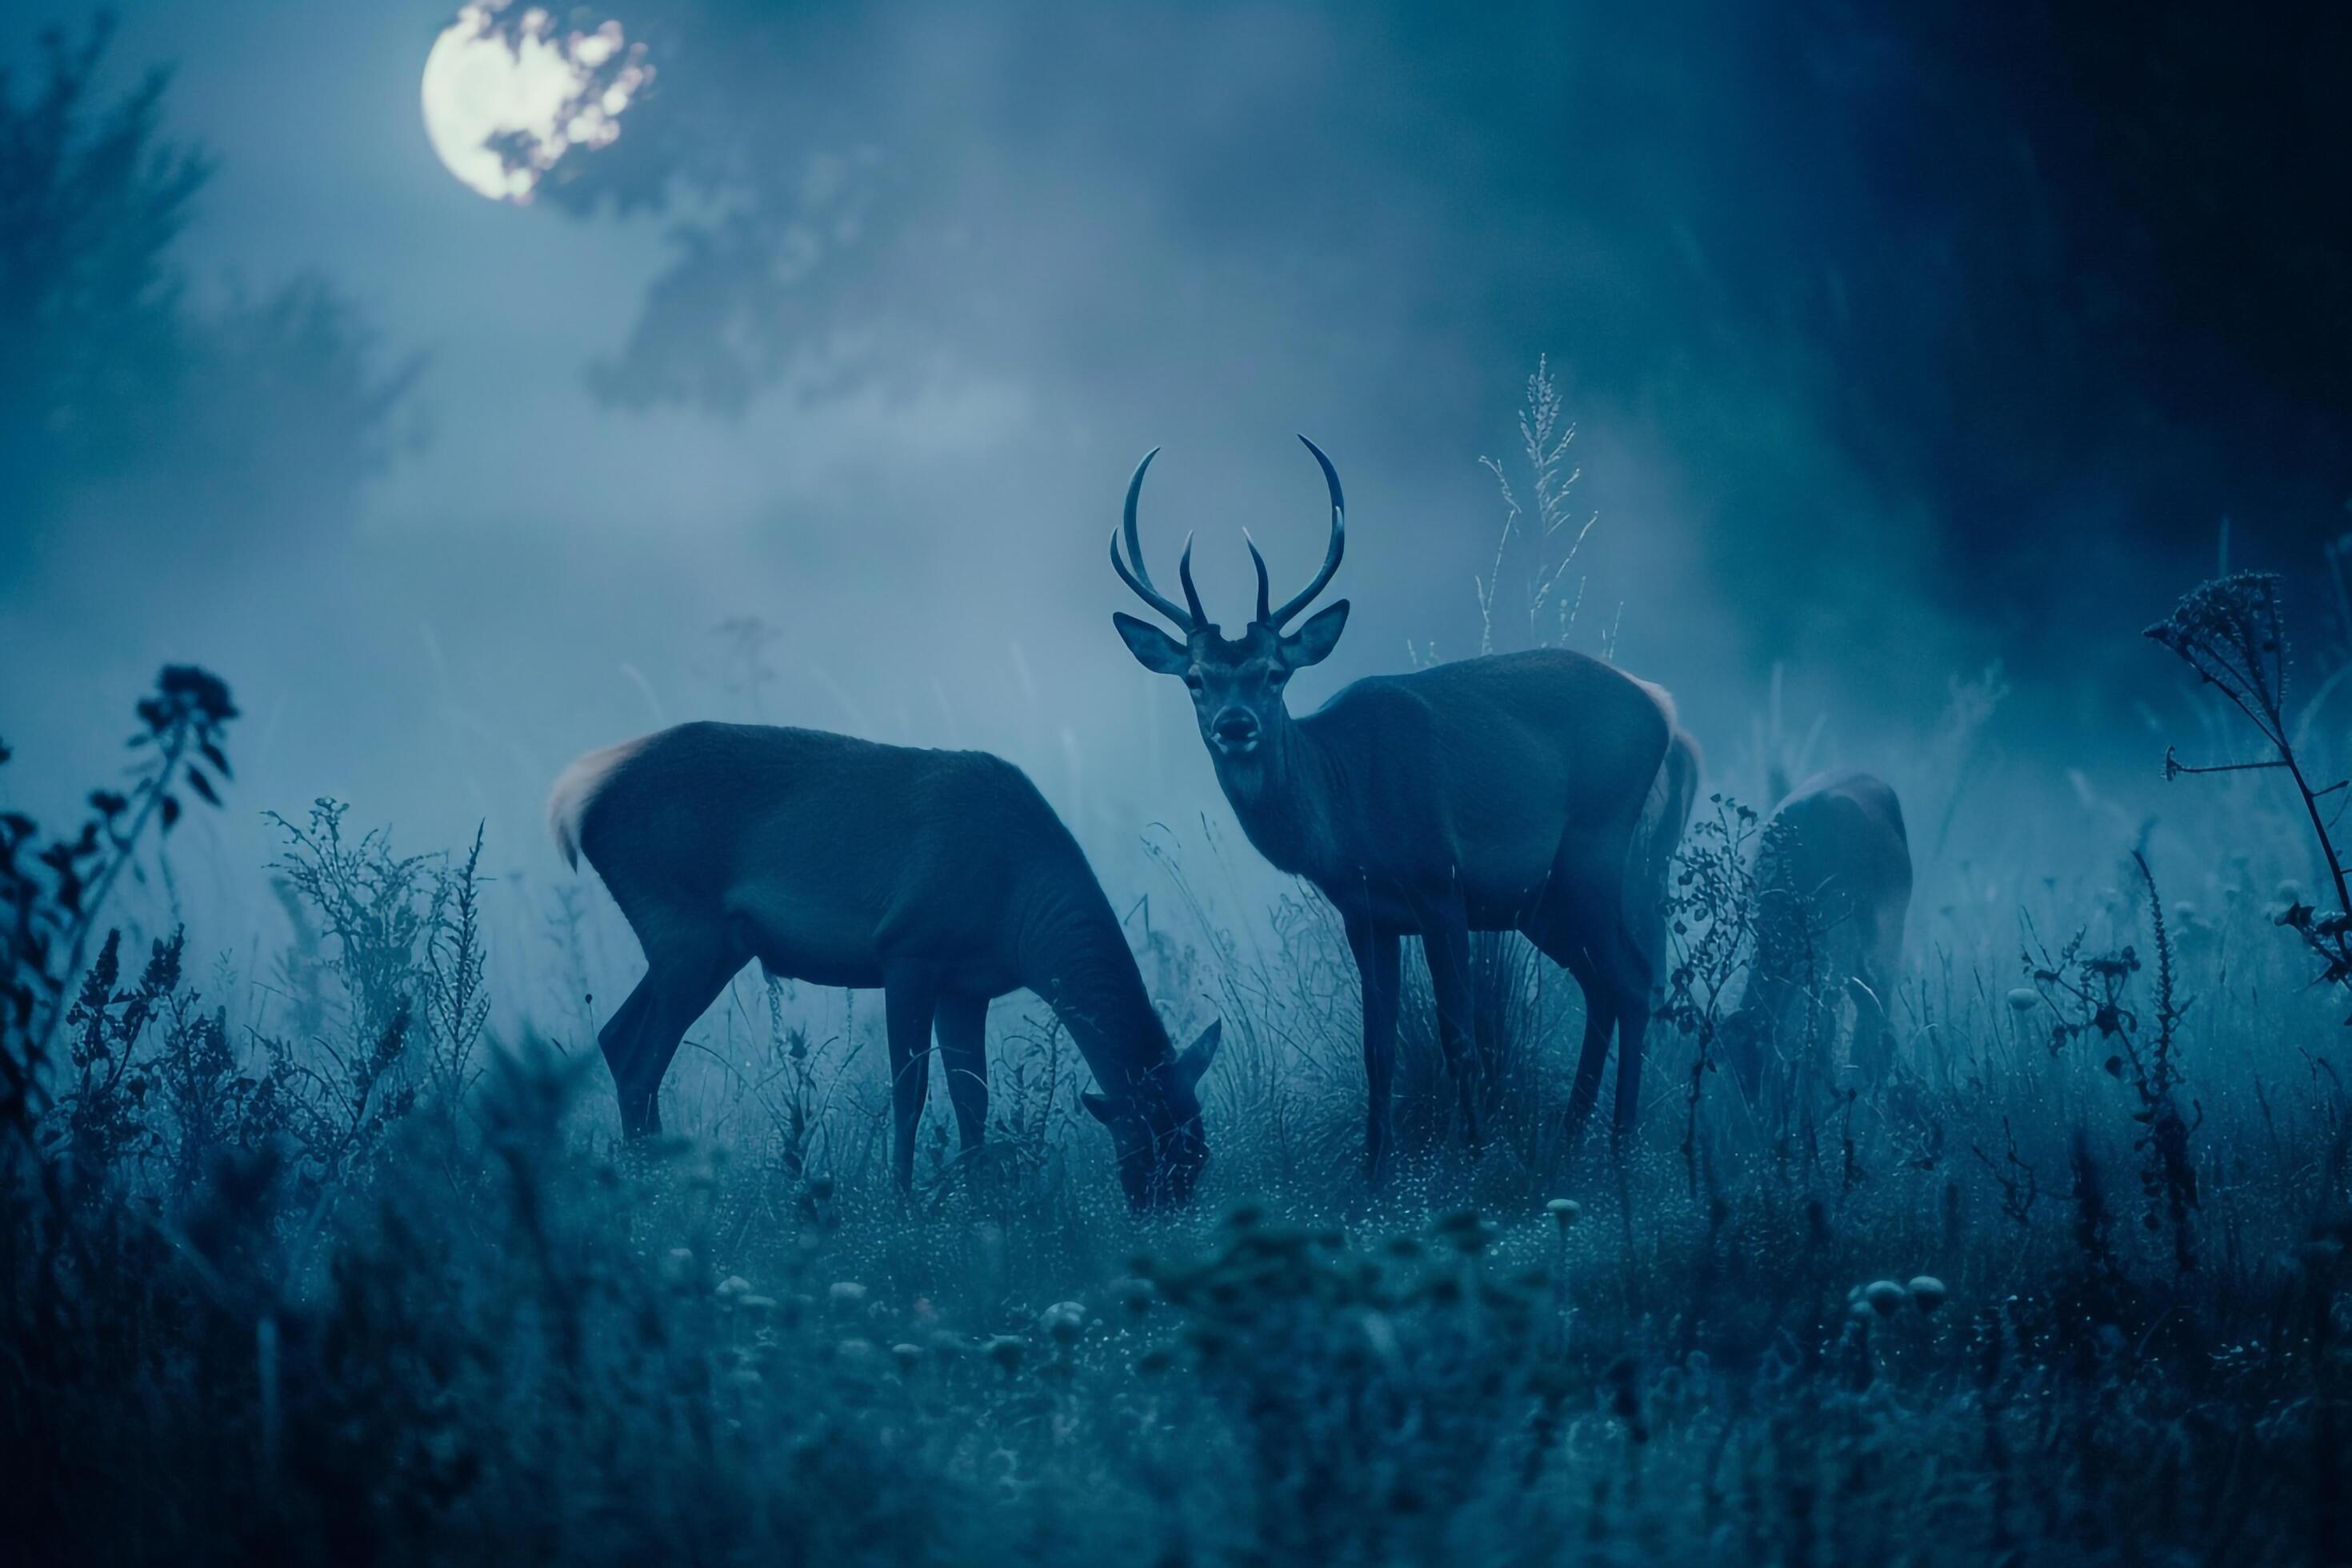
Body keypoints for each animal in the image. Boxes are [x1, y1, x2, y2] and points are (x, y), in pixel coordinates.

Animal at [543, 728, 1222, 1213]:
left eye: (1200, 1151)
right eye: (1146, 1151)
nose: (1166, 1218)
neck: (1022, 912)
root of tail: (573, 803)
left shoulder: (966, 987)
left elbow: (972, 1101)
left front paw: (979, 1205)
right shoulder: (908, 949)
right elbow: (910, 1092)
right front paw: (904, 1204)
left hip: (706, 948)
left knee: (616, 1038)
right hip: (685, 931)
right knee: (639, 1062)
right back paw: (655, 1197)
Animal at [1110, 434, 1702, 1170]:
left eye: (1275, 673)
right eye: (1195, 677)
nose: (1235, 724)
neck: (1348, 820)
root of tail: (1663, 709)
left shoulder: (1441, 884)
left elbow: (1461, 1042)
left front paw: (1475, 1160)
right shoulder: (1366, 916)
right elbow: (1379, 1051)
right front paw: (1375, 1174)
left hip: (1596, 851)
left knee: (1633, 979)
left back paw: (1619, 1146)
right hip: (1542, 900)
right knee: (1603, 983)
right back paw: (1573, 1136)